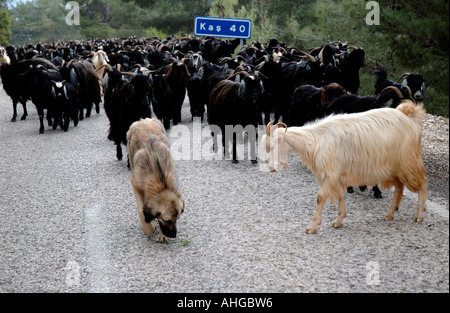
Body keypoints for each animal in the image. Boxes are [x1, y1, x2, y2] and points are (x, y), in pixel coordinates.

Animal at [262, 98, 428, 233]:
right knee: (399, 187)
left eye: (272, 146)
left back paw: (419, 215)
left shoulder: (331, 173)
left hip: (408, 162)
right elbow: (341, 195)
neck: (315, 140)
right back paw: (390, 213)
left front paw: (313, 226)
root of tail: (409, 117)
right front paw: (339, 220)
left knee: (422, 183)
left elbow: (320, 197)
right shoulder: (338, 175)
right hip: (394, 168)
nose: (270, 168)